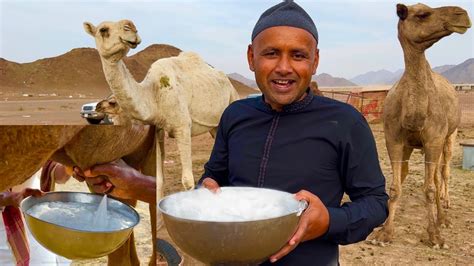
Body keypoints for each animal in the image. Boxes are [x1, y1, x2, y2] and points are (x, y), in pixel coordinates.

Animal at [374, 3, 470, 248]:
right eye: (422, 14)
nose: (462, 14)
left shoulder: (434, 139)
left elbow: (429, 187)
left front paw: (435, 236)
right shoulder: (394, 139)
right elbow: (395, 186)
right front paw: (384, 232)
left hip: (450, 135)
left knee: (442, 173)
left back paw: (444, 216)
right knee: (411, 173)